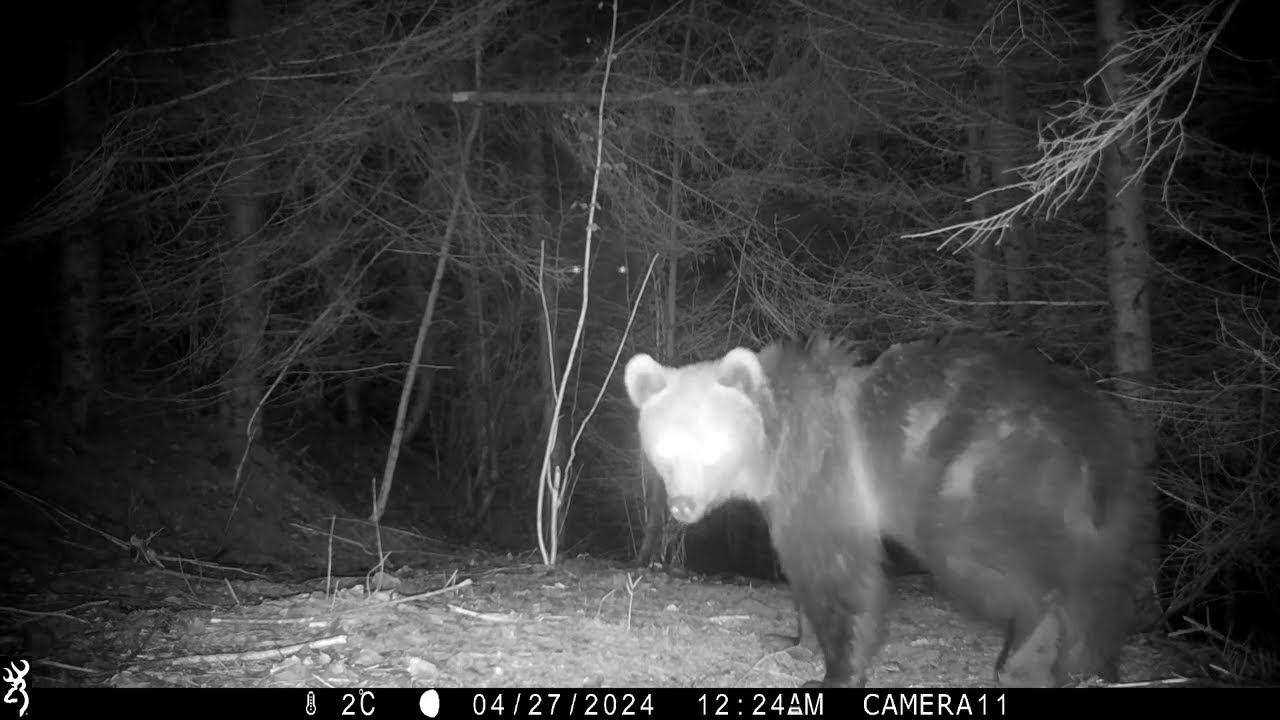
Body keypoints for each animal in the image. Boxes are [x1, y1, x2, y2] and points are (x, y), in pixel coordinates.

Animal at [622, 332, 1157, 688]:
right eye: (664, 448)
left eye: (711, 444)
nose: (682, 504)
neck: (772, 448)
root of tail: (1097, 430)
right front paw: (795, 643)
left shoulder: (826, 474)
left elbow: (839, 573)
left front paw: (835, 671)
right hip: (1117, 512)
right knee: (1102, 588)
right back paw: (1088, 664)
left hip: (980, 475)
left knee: (1002, 565)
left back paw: (1022, 660)